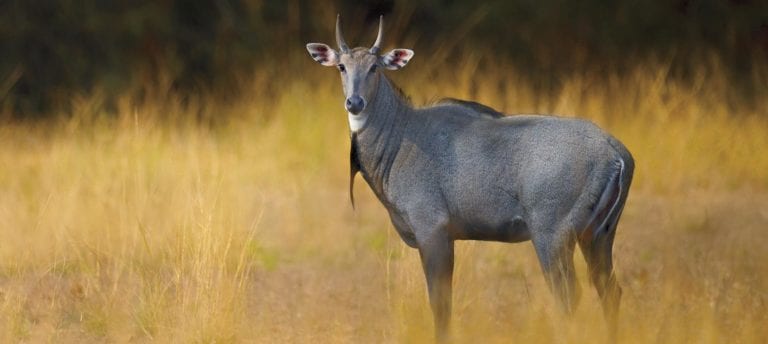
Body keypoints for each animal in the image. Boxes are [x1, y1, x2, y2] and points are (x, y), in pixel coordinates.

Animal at [306, 15, 636, 338]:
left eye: (374, 67)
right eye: (341, 66)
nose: (355, 103)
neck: (399, 137)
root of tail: (617, 154)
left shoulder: (432, 229)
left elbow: (440, 304)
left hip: (552, 234)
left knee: (569, 296)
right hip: (598, 235)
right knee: (610, 291)